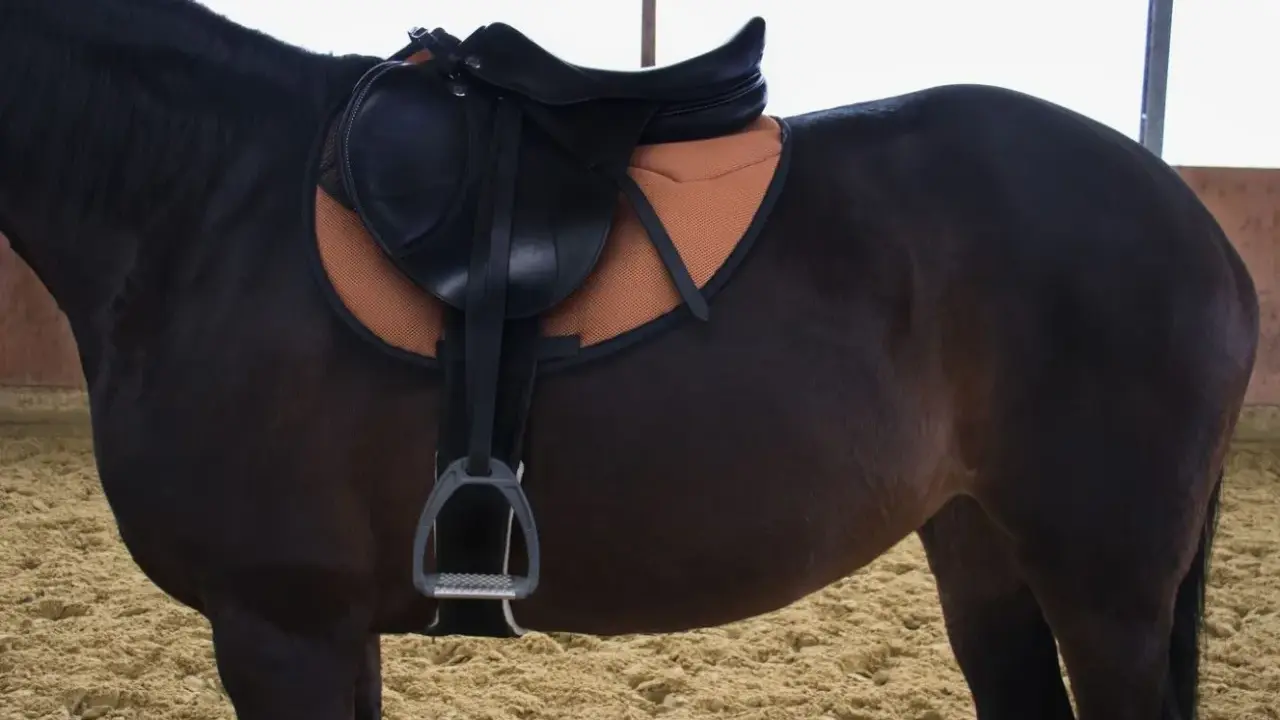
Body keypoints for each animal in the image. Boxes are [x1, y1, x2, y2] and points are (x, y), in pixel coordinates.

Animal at [0, 1, 1260, 719]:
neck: (206, 198)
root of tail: (1192, 223)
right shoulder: (325, 632)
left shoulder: (280, 625)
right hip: (983, 554)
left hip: (1105, 591)